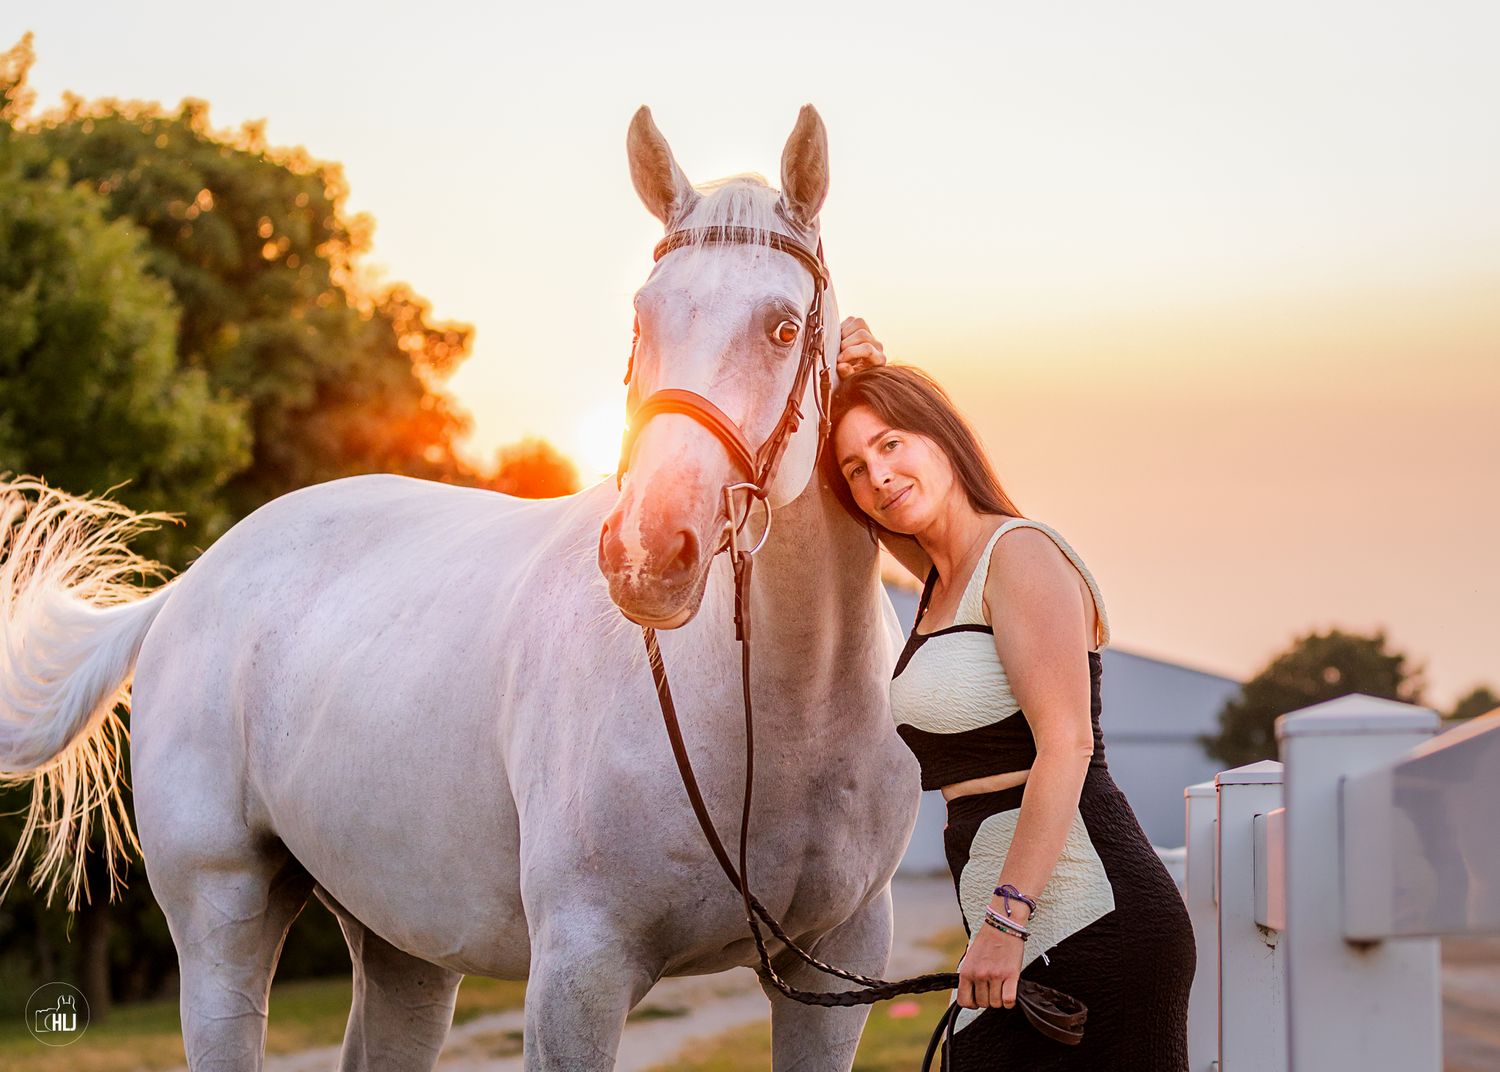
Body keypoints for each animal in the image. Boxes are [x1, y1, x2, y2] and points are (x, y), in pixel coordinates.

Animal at [0, 105, 920, 1071]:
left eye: (782, 328)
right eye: (644, 316)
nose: (645, 551)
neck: (778, 714)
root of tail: (189, 586)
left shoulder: (835, 968)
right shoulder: (580, 972)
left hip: (402, 944)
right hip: (223, 918)